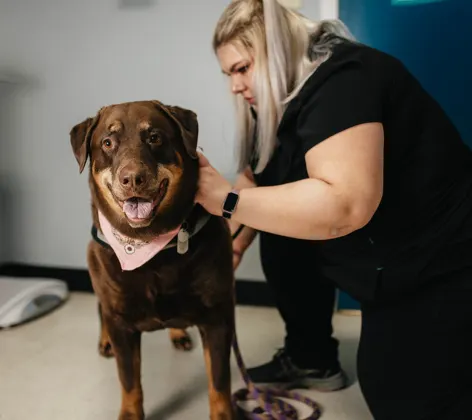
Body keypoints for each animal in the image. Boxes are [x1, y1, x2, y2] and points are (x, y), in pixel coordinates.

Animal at [70, 100, 236, 418]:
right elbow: (129, 379)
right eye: (107, 142)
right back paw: (105, 340)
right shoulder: (121, 321)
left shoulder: (218, 317)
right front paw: (130, 413)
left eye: (155, 137)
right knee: (101, 308)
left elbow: (219, 383)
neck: (154, 248)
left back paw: (177, 333)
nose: (133, 178)